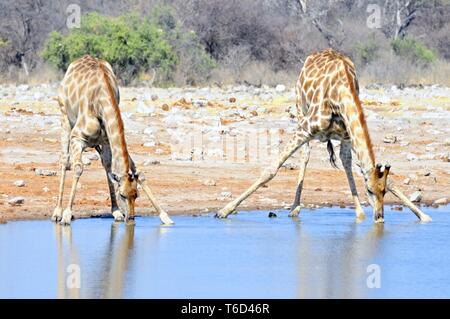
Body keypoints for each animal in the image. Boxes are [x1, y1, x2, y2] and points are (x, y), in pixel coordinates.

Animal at [51, 54, 174, 225]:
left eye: (136, 195)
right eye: (122, 194)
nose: (130, 218)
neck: (100, 102)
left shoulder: (107, 140)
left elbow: (129, 169)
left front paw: (164, 216)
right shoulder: (77, 137)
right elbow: (78, 168)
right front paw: (67, 215)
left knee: (105, 164)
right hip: (64, 118)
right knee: (64, 160)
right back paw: (57, 212)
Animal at [218, 48, 432, 224]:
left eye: (384, 191)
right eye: (370, 190)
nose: (379, 217)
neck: (340, 94)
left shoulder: (347, 137)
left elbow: (350, 165)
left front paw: (423, 216)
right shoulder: (306, 128)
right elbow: (271, 170)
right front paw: (224, 210)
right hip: (300, 112)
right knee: (305, 156)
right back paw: (294, 208)